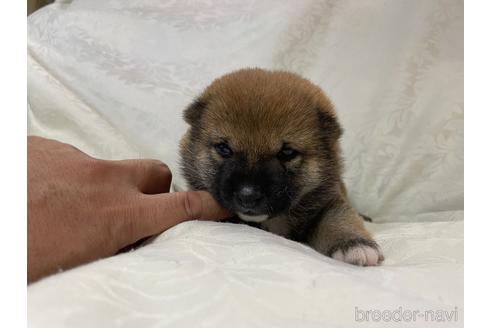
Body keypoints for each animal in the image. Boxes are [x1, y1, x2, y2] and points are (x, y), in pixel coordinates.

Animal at [181, 68, 384, 266]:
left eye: (287, 153)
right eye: (223, 148)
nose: (248, 195)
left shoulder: (330, 201)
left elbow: (339, 218)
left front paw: (354, 244)